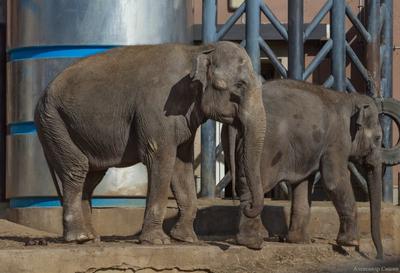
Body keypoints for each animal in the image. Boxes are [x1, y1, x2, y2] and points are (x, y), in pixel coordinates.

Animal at [34, 42, 266, 244]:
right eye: (239, 85)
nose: (246, 206)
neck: (198, 50)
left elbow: (182, 166)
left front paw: (186, 239)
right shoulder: (158, 109)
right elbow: (161, 159)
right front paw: (157, 241)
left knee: (92, 175)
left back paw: (92, 238)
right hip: (54, 122)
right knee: (77, 169)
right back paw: (79, 238)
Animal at [223, 78, 382, 258]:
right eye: (378, 138)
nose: (377, 256)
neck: (350, 99)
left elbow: (303, 183)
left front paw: (300, 241)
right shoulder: (336, 140)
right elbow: (334, 181)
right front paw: (351, 242)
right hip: (263, 149)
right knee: (256, 184)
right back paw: (253, 243)